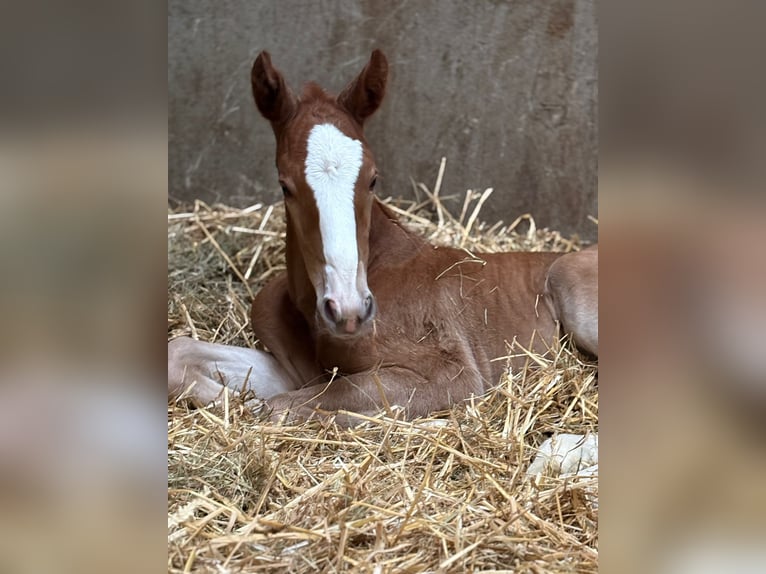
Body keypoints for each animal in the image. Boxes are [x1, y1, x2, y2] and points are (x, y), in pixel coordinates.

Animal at [168, 50, 597, 425]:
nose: (348, 309)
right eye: (284, 186)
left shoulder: (453, 373)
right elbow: (181, 351)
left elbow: (288, 406)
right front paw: (230, 401)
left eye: (373, 179)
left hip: (568, 281)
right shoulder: (294, 369)